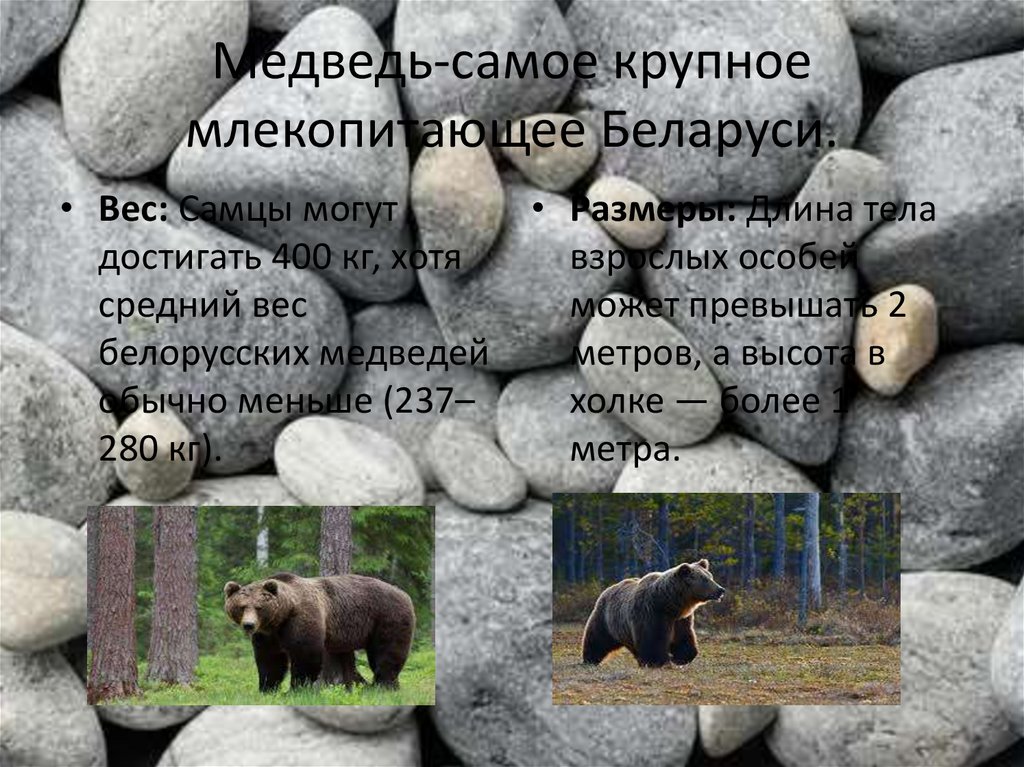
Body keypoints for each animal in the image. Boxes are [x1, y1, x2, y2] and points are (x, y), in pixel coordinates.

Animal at [223, 571, 415, 691]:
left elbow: (305, 654)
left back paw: (382, 685)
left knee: (386, 652)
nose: (248, 625)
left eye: (259, 607)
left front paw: (296, 689)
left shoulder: (301, 619)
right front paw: (267, 688)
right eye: (241, 607)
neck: (282, 616)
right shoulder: (268, 635)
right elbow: (270, 660)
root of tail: (404, 593)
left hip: (387, 616)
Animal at [580, 558, 725, 668]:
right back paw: (590, 659)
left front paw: (680, 658)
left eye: (710, 576)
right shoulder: (651, 613)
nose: (721, 590)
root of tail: (608, 589)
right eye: (705, 579)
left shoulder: (680, 619)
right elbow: (653, 639)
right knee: (597, 638)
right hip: (605, 619)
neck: (669, 604)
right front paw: (658, 661)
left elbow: (684, 637)